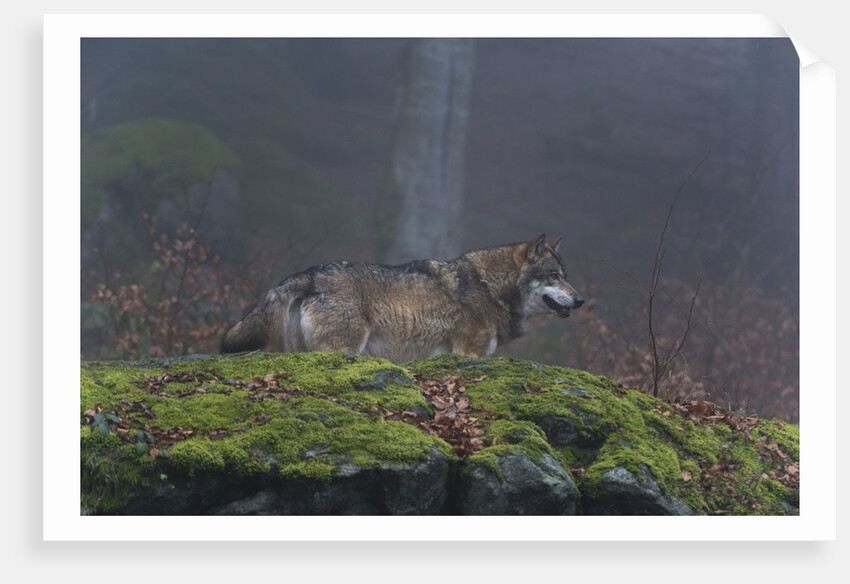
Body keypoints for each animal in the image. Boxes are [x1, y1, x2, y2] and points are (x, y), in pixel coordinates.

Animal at [220, 234, 584, 362]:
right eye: (554, 277)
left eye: (566, 276)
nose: (580, 300)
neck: (489, 286)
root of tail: (309, 274)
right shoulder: (468, 353)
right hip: (343, 348)